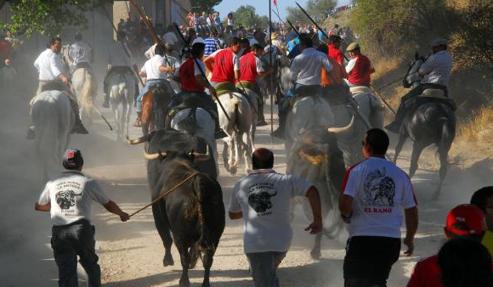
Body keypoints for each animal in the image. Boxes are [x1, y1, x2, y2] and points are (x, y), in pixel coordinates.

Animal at [129, 130, 225, 287]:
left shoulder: (158, 216)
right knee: (208, 260)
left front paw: (167, 260)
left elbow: (165, 238)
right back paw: (205, 282)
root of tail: (198, 185)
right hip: (215, 235)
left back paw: (183, 280)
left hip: (180, 236)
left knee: (183, 257)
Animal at [390, 53, 456, 198]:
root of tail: (442, 114)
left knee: (414, 166)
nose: (404, 82)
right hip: (444, 146)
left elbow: (397, 149)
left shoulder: (403, 133)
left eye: (411, 65)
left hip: (419, 144)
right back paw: (435, 194)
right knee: (443, 169)